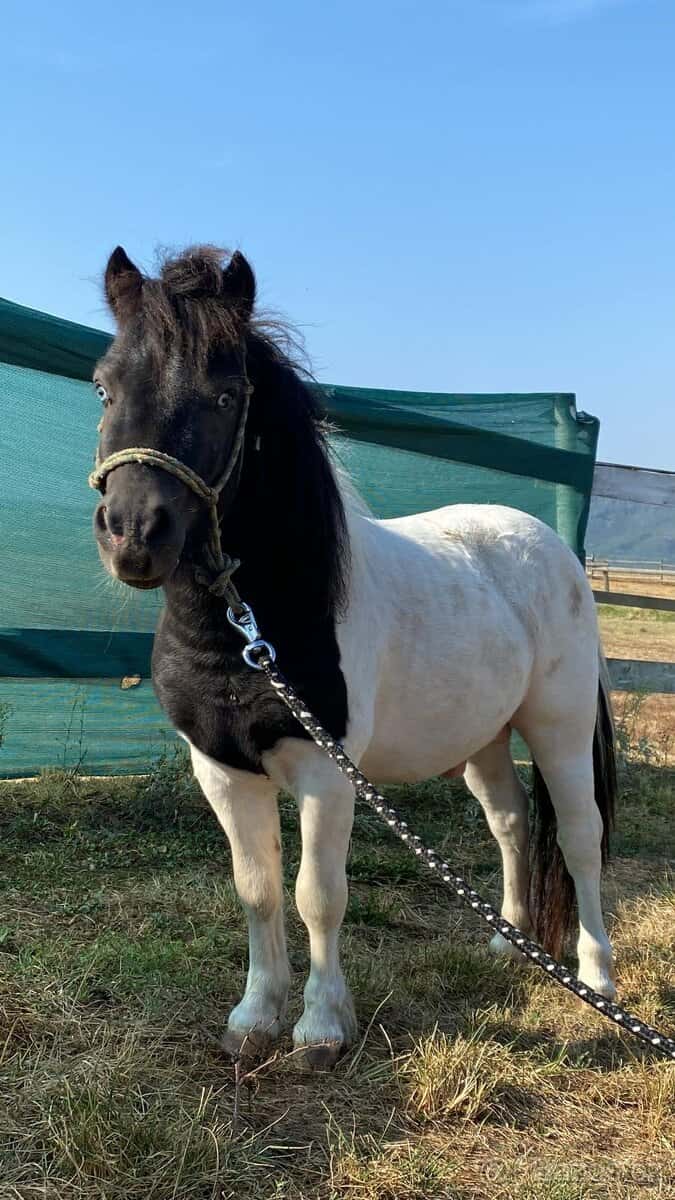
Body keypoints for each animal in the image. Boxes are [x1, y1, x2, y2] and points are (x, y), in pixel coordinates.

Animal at [90, 244, 617, 1067]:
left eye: (225, 394)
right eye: (104, 385)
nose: (135, 533)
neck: (249, 632)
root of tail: (553, 546)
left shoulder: (325, 772)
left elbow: (318, 895)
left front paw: (320, 1029)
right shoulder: (221, 770)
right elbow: (257, 889)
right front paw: (253, 1019)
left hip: (557, 729)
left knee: (579, 834)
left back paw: (596, 976)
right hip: (482, 737)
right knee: (510, 822)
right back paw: (510, 945)